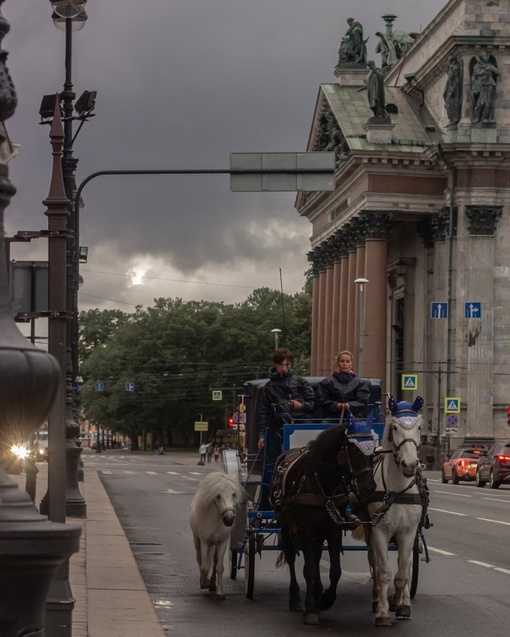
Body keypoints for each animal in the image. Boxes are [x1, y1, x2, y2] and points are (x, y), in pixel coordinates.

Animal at [189, 470, 245, 600]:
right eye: (218, 495)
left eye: (234, 494)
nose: (229, 519)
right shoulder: (205, 543)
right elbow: (204, 566)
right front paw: (204, 582)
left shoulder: (222, 543)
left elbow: (219, 567)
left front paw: (220, 591)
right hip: (197, 540)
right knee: (200, 559)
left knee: (214, 562)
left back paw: (213, 584)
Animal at [358, 396, 426, 624]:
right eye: (395, 427)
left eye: (419, 427)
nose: (410, 465)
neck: (397, 490)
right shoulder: (379, 531)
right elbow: (384, 572)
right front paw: (383, 611)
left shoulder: (408, 532)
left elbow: (402, 574)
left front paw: (399, 604)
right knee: (374, 562)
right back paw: (376, 598)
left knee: (405, 564)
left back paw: (404, 603)